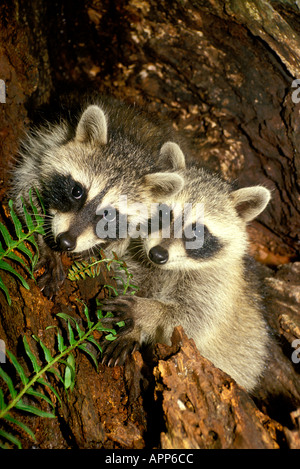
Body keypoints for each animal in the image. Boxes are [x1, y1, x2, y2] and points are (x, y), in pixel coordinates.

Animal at [11, 97, 185, 296]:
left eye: (110, 215)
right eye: (76, 191)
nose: (65, 241)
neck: (132, 145)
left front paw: (101, 247)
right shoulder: (47, 142)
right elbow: (25, 193)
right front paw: (47, 245)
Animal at [101, 155, 272, 394]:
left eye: (197, 232)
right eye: (163, 214)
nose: (158, 254)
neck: (169, 269)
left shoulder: (218, 287)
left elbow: (192, 321)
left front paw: (146, 313)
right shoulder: (140, 261)